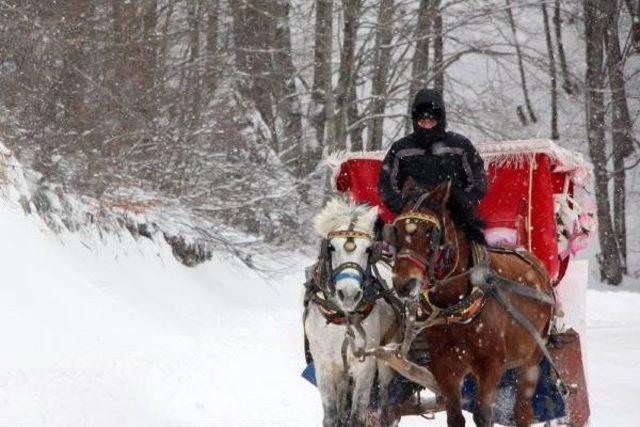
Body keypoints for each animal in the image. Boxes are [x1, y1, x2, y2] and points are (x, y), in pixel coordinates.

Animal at [304, 201, 396, 427]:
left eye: (368, 249)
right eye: (331, 247)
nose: (348, 294)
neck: (341, 318)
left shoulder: (365, 365)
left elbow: (357, 416)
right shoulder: (324, 364)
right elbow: (331, 416)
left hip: (386, 357)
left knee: (383, 397)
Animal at [384, 181, 556, 427]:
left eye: (430, 233)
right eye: (395, 230)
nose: (404, 284)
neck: (455, 307)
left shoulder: (492, 365)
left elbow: (483, 414)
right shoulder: (445, 367)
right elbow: (455, 417)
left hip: (531, 360)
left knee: (523, 410)